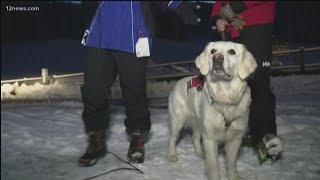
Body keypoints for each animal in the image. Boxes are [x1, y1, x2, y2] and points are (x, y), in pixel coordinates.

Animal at [168, 41, 258, 180]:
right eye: (213, 51)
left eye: (232, 51)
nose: (217, 58)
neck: (225, 98)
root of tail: (178, 82)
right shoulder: (210, 138)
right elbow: (213, 166)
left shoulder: (235, 138)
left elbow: (231, 164)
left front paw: (234, 176)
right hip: (177, 121)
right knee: (172, 138)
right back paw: (172, 155)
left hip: (198, 123)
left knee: (194, 138)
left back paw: (200, 153)